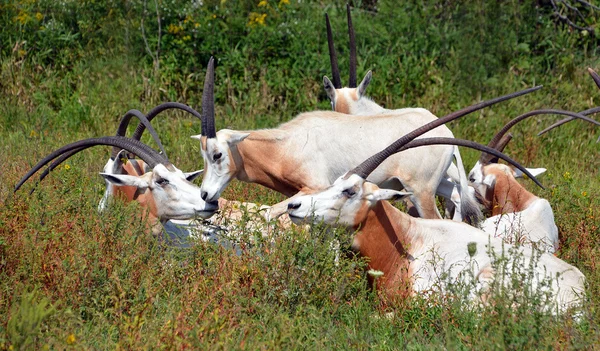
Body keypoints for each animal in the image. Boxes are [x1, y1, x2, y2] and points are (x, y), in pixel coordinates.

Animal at [196, 57, 540, 223]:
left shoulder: (314, 187)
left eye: (217, 155)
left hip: (421, 192)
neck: (286, 144)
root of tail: (448, 136)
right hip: (438, 185)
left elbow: (270, 213)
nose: (205, 194)